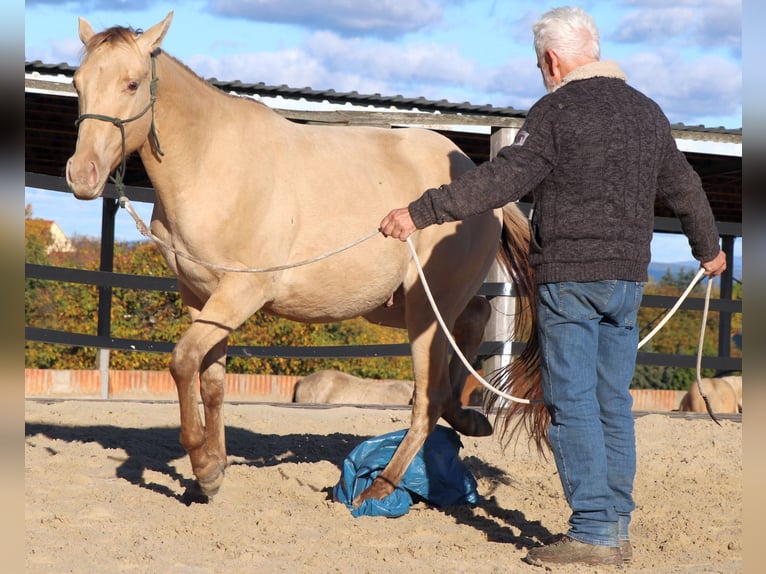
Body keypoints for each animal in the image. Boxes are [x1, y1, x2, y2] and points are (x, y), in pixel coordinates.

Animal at [65, 11, 541, 506]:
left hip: (426, 311)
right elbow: (210, 381)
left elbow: (182, 362)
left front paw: (203, 464)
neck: (212, 165)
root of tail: (477, 179)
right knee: (473, 321)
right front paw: (212, 471)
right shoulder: (200, 298)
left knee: (428, 399)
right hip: (400, 305)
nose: (81, 175)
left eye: (132, 83)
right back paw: (467, 418)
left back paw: (380, 488)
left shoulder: (241, 292)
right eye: (79, 83)